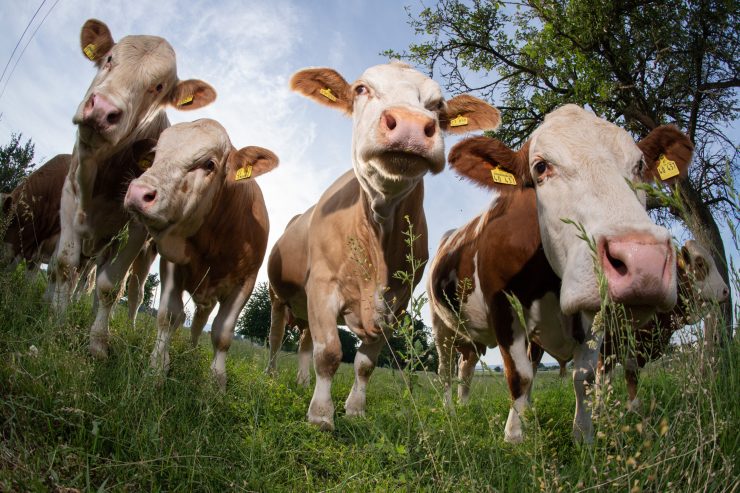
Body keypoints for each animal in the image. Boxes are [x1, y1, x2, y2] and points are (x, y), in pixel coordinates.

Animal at [46, 19, 215, 358]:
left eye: (158, 87)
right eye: (109, 58)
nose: (102, 110)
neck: (100, 171)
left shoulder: (138, 225)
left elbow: (111, 285)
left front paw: (98, 341)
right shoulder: (69, 196)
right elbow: (65, 265)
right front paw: (57, 322)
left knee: (132, 289)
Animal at [125, 120, 278, 388]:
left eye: (209, 164)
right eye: (155, 155)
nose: (138, 192)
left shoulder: (246, 281)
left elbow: (222, 332)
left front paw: (216, 381)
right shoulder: (170, 263)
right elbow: (168, 315)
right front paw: (157, 367)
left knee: (199, 320)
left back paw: (192, 352)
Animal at [264, 61, 500, 430]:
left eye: (438, 105)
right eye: (361, 89)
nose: (411, 124)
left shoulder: (396, 303)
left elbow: (365, 362)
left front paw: (355, 410)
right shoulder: (322, 286)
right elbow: (329, 353)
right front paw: (321, 415)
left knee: (303, 340)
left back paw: (302, 382)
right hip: (278, 295)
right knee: (276, 338)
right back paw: (273, 377)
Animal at [428, 104, 692, 442]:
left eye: (640, 164)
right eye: (540, 167)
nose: (644, 260)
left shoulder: (595, 313)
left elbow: (585, 377)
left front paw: (583, 435)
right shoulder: (502, 305)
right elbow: (520, 375)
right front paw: (514, 436)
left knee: (466, 364)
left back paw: (464, 406)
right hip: (441, 325)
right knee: (445, 368)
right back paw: (450, 410)